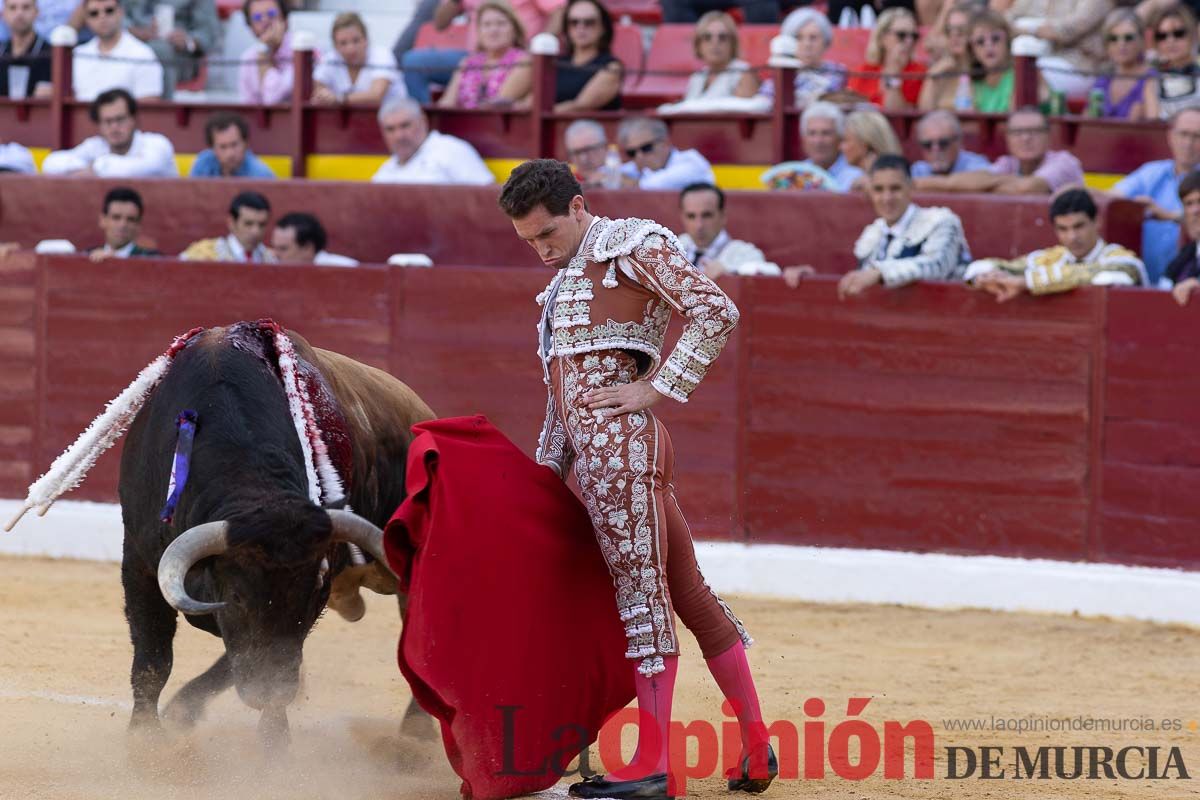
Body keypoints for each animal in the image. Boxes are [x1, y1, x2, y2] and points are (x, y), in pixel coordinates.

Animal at [117, 321, 434, 748]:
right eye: (236, 595)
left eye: (311, 594)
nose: (268, 692)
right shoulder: (139, 561)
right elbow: (152, 660)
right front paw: (144, 740)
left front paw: (275, 744)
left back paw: (415, 735)